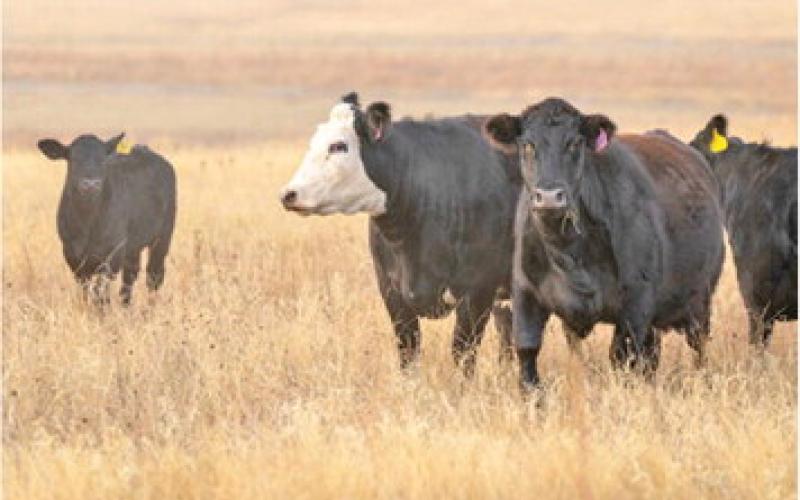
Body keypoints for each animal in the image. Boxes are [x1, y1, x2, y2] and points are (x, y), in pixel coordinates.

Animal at [37, 133, 176, 304]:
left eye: (103, 160)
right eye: (73, 159)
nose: (91, 184)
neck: (87, 222)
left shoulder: (112, 255)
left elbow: (100, 293)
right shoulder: (72, 256)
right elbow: (85, 291)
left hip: (163, 238)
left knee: (154, 276)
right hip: (133, 246)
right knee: (130, 275)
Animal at [279, 92, 521, 375]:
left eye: (339, 146)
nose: (288, 194)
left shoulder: (477, 292)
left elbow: (462, 356)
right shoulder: (393, 294)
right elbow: (408, 353)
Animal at [484, 98, 725, 388]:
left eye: (575, 143)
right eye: (528, 144)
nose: (550, 197)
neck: (570, 254)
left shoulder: (636, 303)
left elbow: (622, 357)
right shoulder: (525, 294)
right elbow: (527, 351)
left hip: (700, 301)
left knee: (697, 347)